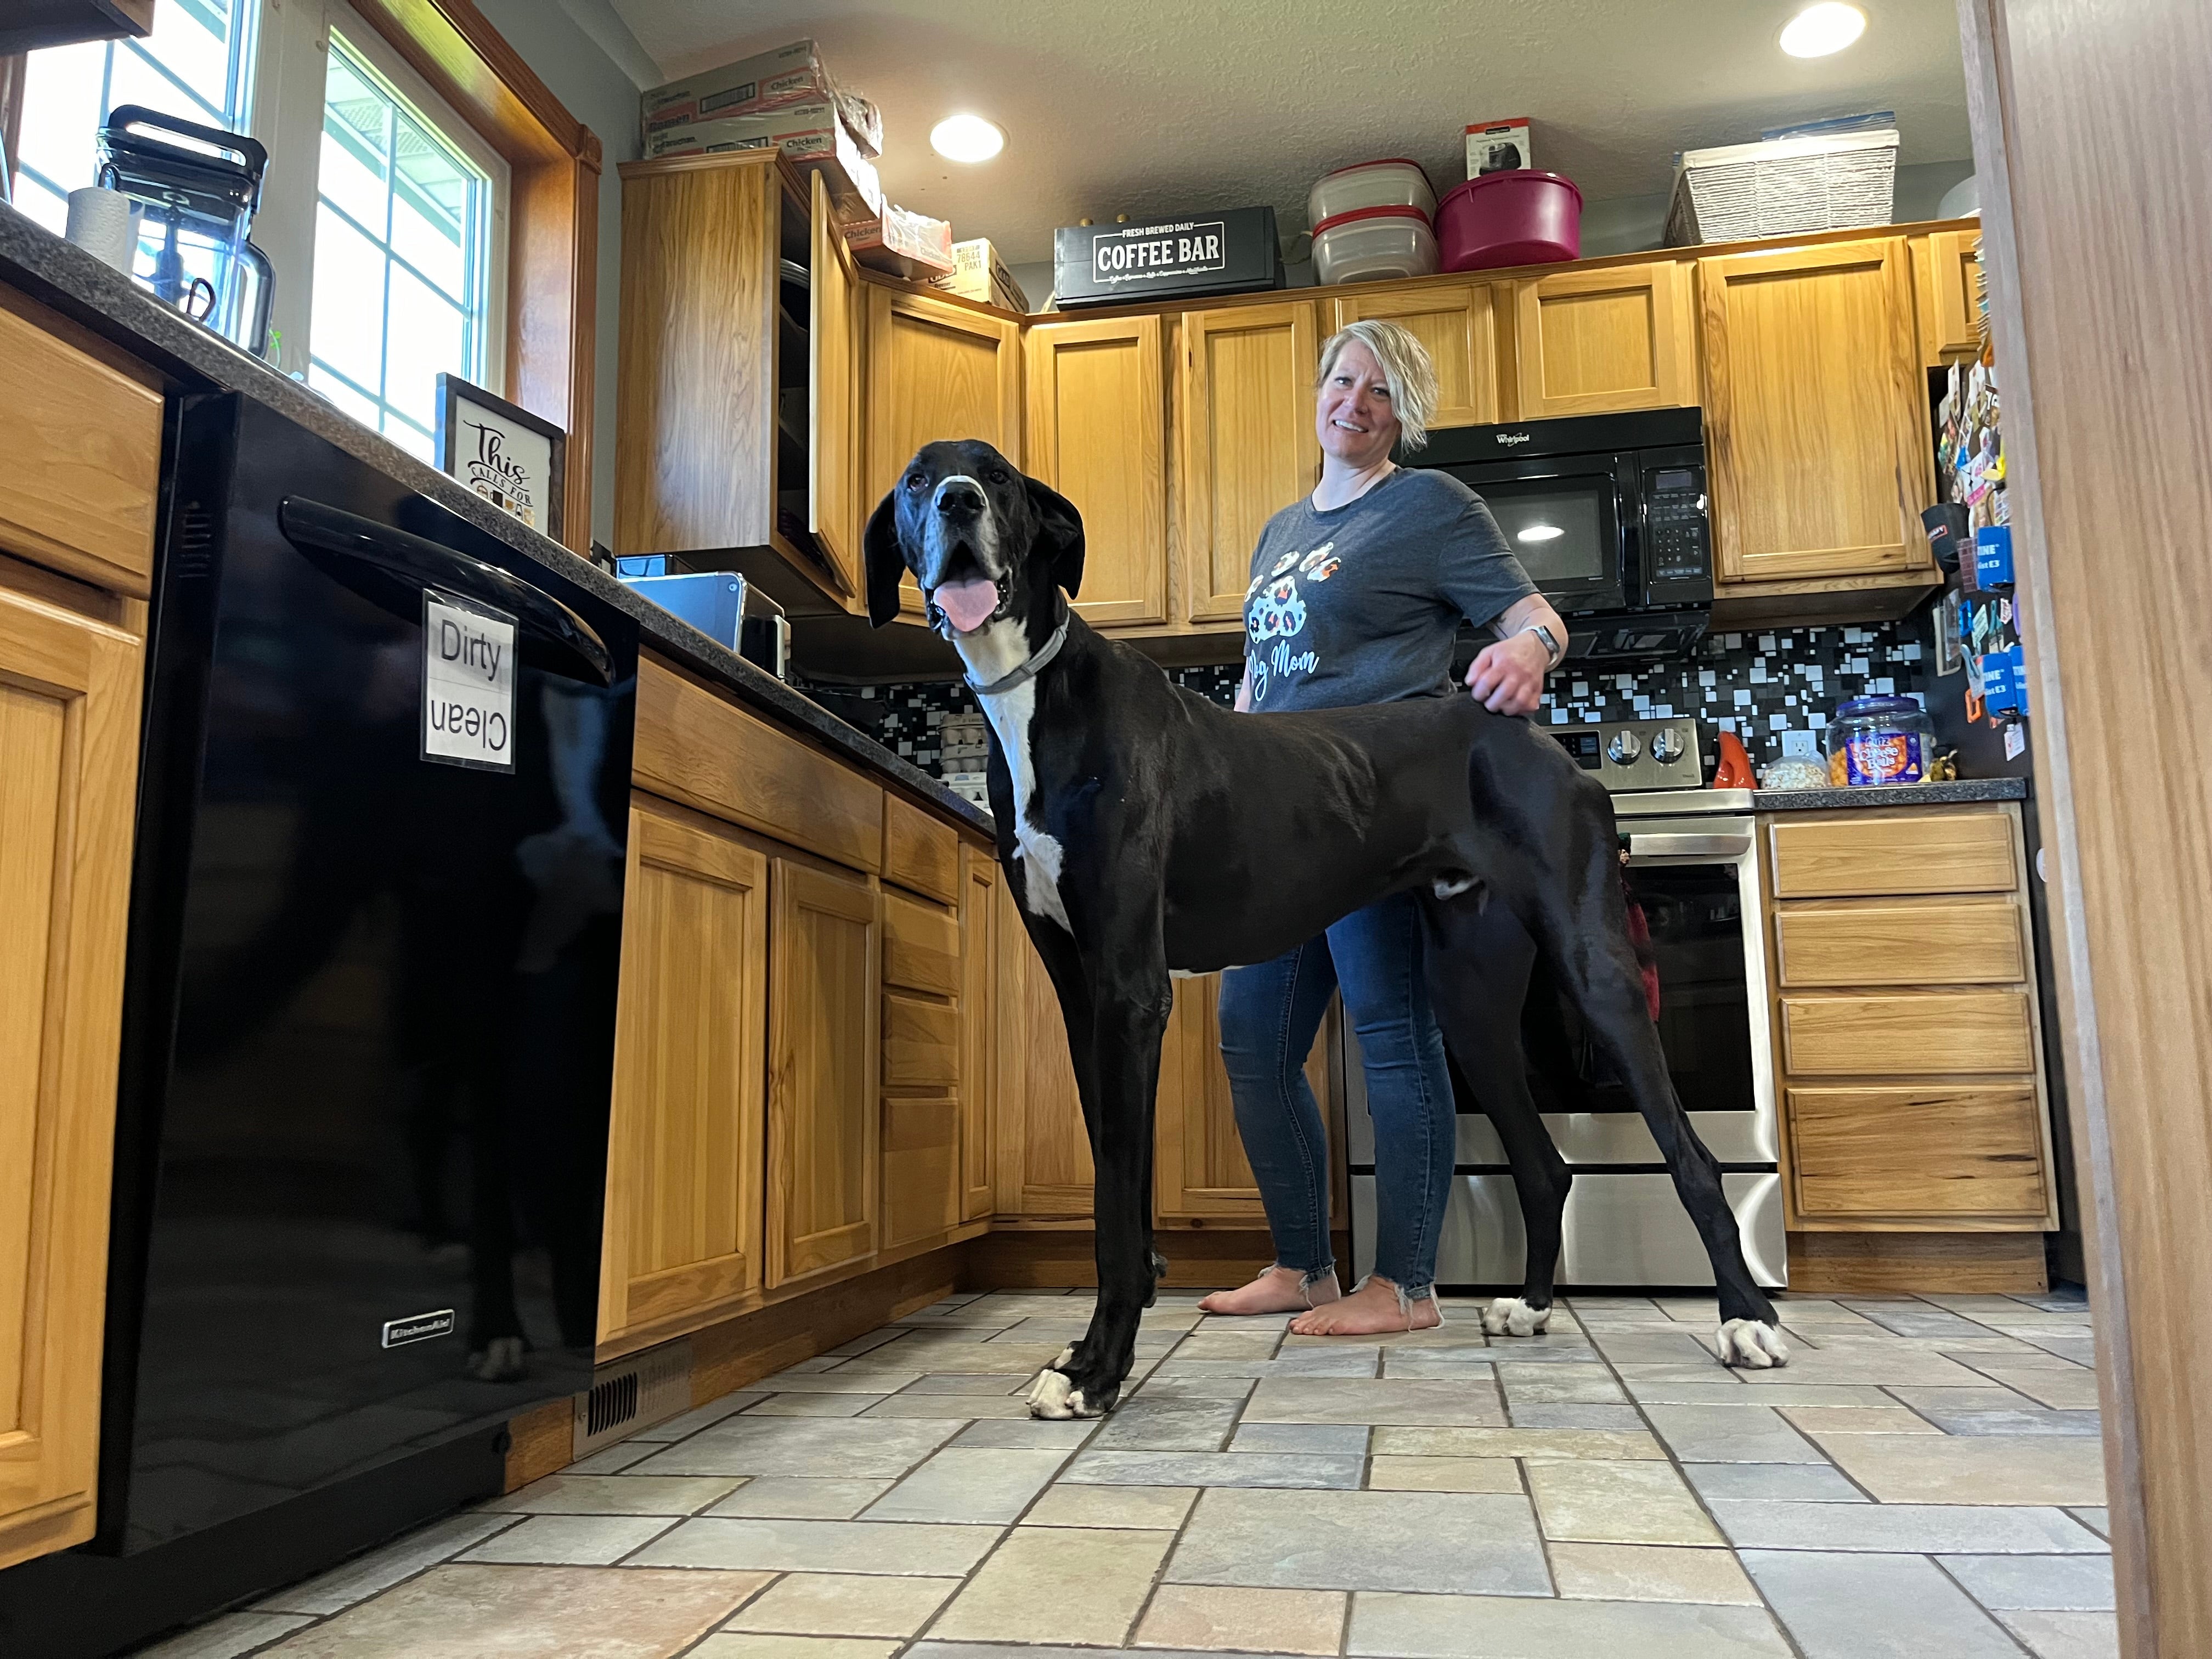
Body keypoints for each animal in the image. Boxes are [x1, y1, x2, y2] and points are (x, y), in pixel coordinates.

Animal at [867, 438, 1796, 1415]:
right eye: (916, 481)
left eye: (1000, 478)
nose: (958, 503)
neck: (1036, 695)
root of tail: (1542, 738)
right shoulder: (1084, 1003)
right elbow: (1113, 1189)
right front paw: (1099, 1347)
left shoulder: (1131, 996)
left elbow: (1118, 1206)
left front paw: (1097, 1370)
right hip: (1471, 1004)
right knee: (1546, 1165)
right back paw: (1533, 1307)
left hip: (1597, 969)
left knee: (1692, 1160)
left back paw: (1747, 1320)